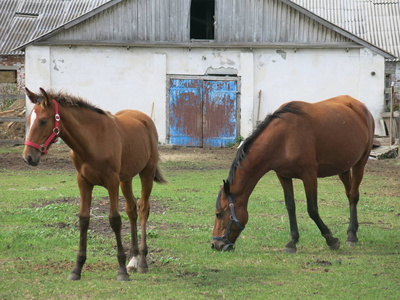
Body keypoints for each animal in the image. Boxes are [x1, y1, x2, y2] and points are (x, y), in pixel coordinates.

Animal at [22, 88, 166, 280]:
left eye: (43, 121)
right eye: (29, 120)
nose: (28, 157)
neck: (93, 140)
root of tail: (144, 118)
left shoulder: (112, 182)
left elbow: (115, 220)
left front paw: (121, 271)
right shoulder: (83, 182)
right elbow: (84, 219)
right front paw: (77, 268)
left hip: (146, 173)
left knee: (143, 209)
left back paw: (142, 261)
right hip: (126, 178)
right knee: (132, 210)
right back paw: (133, 260)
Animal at [212, 95, 376, 252]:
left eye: (218, 214)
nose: (215, 244)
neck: (284, 138)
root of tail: (361, 107)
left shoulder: (309, 176)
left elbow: (312, 209)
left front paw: (331, 239)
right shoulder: (283, 176)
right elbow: (290, 206)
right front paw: (292, 242)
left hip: (360, 163)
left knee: (353, 196)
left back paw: (352, 235)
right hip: (343, 168)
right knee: (349, 194)